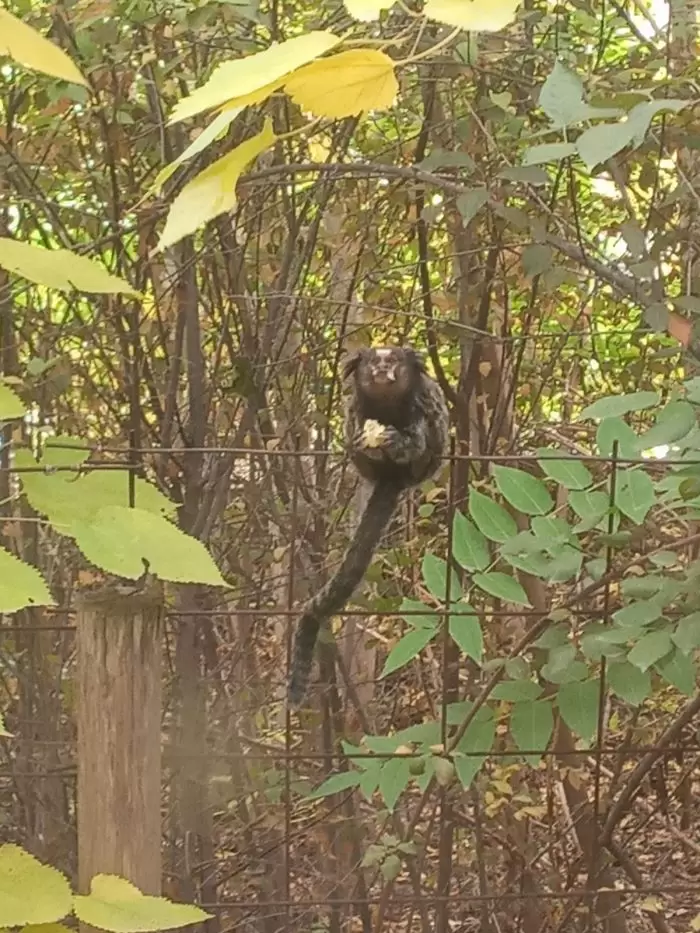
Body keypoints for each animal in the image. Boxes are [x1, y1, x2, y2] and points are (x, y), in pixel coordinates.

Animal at [287, 346, 449, 707]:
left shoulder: (420, 400)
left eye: (394, 363)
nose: (382, 371)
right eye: (375, 362)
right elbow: (354, 429)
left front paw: (397, 442)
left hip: (426, 467)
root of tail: (394, 479)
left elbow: (418, 435)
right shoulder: (357, 408)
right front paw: (368, 440)